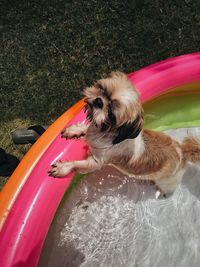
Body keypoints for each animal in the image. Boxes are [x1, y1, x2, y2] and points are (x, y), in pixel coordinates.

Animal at [49, 72, 200, 196]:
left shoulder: (96, 162)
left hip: (168, 181)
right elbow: (85, 129)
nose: (99, 101)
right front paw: (74, 131)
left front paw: (64, 167)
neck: (106, 133)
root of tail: (182, 151)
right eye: (103, 89)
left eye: (111, 114)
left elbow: (79, 164)